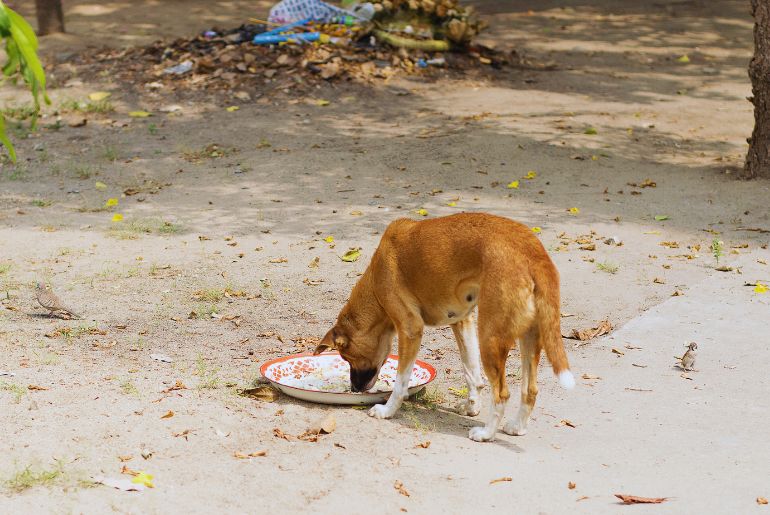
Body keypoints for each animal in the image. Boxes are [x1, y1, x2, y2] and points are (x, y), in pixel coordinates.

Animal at [312, 212, 568, 442]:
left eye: (347, 358)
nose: (354, 390)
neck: (376, 282)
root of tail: (534, 252)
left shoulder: (411, 329)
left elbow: (401, 381)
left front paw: (387, 411)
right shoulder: (462, 322)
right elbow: (471, 373)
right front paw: (471, 407)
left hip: (490, 338)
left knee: (502, 394)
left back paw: (486, 434)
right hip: (528, 339)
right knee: (530, 390)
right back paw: (517, 427)